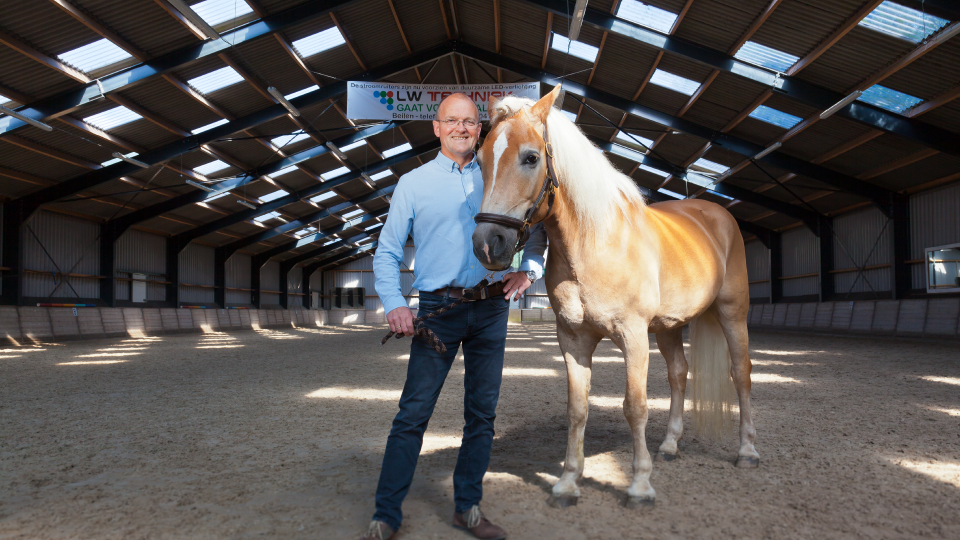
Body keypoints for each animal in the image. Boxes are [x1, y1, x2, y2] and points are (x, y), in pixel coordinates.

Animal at [472, 86, 756, 508]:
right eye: (480, 160)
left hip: (732, 313)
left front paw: (639, 486)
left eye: (531, 157)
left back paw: (747, 451)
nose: (488, 244)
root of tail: (716, 215)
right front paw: (567, 483)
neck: (595, 243)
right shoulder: (573, 340)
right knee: (679, 373)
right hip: (669, 327)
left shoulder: (633, 337)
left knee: (741, 374)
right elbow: (577, 409)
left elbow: (635, 407)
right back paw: (670, 445)